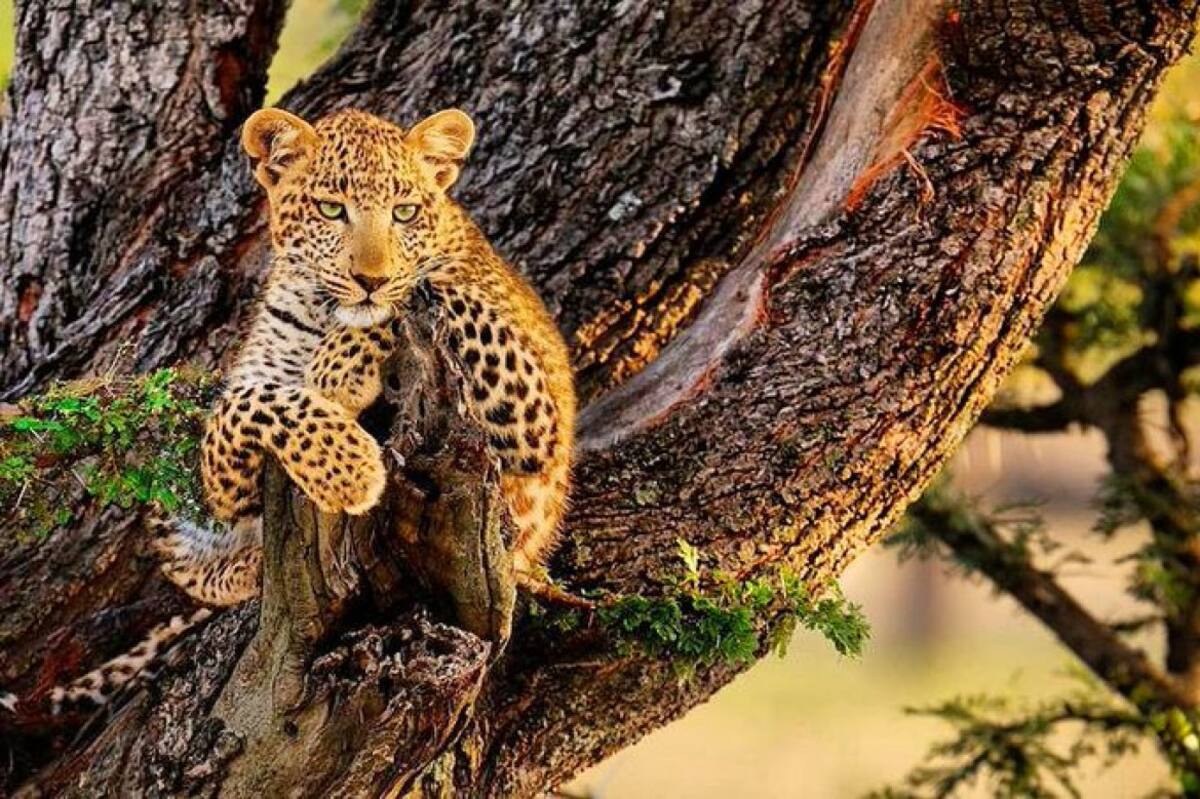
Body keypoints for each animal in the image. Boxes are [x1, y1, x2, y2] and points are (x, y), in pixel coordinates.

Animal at [48, 107, 576, 711]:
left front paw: (342, 366)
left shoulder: (534, 425)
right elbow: (245, 405)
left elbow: (425, 286)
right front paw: (349, 468)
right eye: (330, 209)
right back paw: (251, 567)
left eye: (404, 212)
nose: (369, 278)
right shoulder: (229, 463)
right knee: (199, 574)